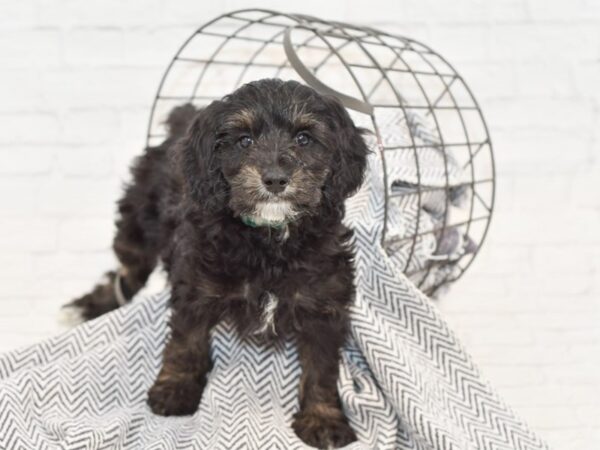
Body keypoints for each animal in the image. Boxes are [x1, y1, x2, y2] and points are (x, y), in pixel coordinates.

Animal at [62, 79, 370, 448]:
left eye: (304, 138)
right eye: (244, 140)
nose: (275, 179)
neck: (269, 239)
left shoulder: (323, 302)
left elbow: (321, 367)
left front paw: (323, 418)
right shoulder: (195, 282)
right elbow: (187, 340)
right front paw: (175, 390)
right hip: (138, 219)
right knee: (127, 269)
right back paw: (92, 305)